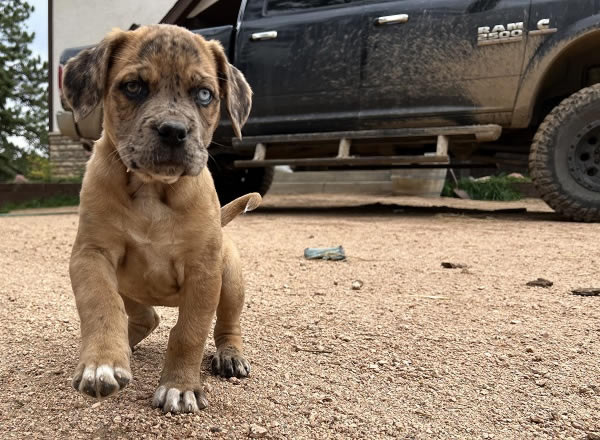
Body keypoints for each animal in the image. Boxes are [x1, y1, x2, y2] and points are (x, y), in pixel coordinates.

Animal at [62, 24, 254, 412]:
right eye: (133, 86)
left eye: (204, 94)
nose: (173, 130)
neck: (153, 189)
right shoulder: (91, 255)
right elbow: (100, 304)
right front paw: (101, 362)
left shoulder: (203, 272)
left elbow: (189, 332)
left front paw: (179, 386)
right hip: (130, 287)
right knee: (144, 316)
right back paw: (125, 346)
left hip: (229, 280)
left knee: (227, 324)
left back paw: (230, 354)